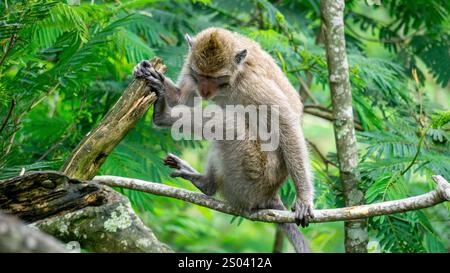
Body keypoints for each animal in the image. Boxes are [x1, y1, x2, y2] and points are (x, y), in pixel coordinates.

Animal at [134, 27, 312, 253]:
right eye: (200, 75)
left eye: (215, 78)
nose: (205, 91)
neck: (232, 81)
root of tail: (271, 194)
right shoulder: (190, 66)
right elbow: (183, 99)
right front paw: (148, 71)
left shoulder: (252, 84)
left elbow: (286, 124)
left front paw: (304, 199)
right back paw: (205, 181)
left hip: (254, 174)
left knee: (228, 120)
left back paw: (164, 118)